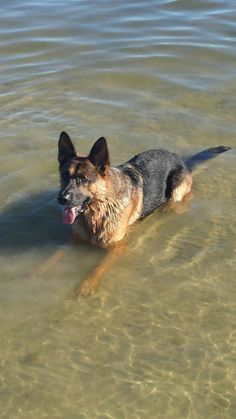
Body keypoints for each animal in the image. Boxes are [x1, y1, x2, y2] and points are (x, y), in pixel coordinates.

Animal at [57, 131, 230, 248]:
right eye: (64, 175)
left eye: (83, 179)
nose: (61, 199)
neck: (99, 210)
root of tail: (180, 159)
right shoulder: (76, 239)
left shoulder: (116, 248)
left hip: (176, 191)